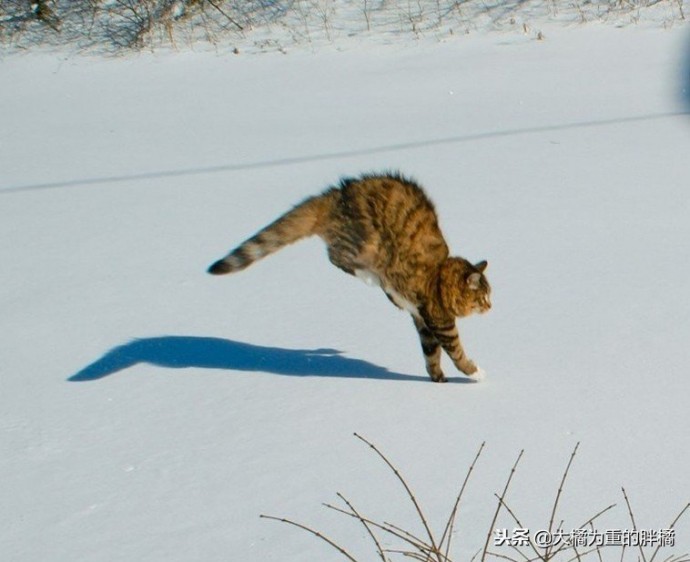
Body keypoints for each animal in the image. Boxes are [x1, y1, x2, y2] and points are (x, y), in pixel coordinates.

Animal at [206, 171, 490, 380]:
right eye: (484, 297)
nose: (491, 307)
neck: (440, 276)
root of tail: (337, 194)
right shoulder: (439, 320)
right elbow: (455, 350)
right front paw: (473, 372)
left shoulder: (422, 320)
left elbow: (431, 354)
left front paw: (437, 379)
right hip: (366, 242)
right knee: (337, 256)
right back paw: (371, 276)